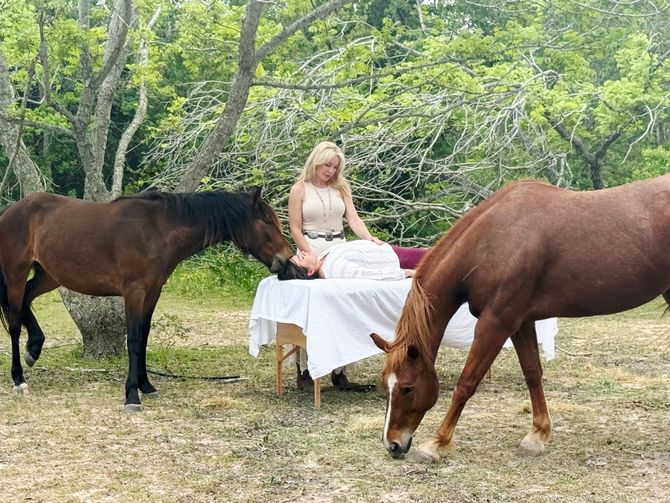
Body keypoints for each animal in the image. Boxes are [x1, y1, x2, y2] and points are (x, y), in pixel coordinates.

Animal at [0, 188, 292, 411]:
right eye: (267, 222)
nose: (286, 259)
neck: (158, 230)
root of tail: (11, 212)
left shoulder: (153, 292)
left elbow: (144, 337)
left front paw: (146, 385)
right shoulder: (134, 292)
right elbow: (133, 340)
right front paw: (131, 395)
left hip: (48, 275)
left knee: (26, 300)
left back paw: (34, 348)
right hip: (16, 273)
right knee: (13, 322)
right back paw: (19, 378)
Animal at [371, 174, 670, 462]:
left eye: (408, 388)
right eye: (385, 385)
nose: (392, 445)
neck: (493, 241)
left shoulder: (495, 323)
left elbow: (466, 383)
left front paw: (436, 444)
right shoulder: (520, 322)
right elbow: (532, 372)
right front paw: (537, 436)